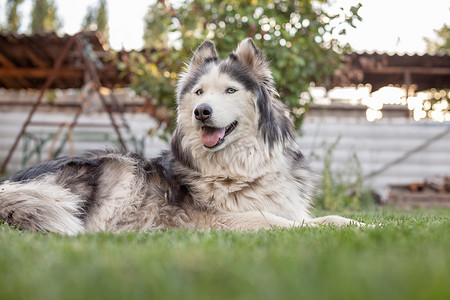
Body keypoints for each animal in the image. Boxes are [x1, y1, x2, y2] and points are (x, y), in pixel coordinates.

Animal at [0, 38, 364, 234]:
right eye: (200, 91)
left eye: (230, 90)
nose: (201, 111)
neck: (239, 166)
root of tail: (12, 184)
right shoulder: (225, 219)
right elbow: (291, 225)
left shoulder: (289, 208)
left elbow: (332, 218)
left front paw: (369, 227)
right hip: (118, 167)